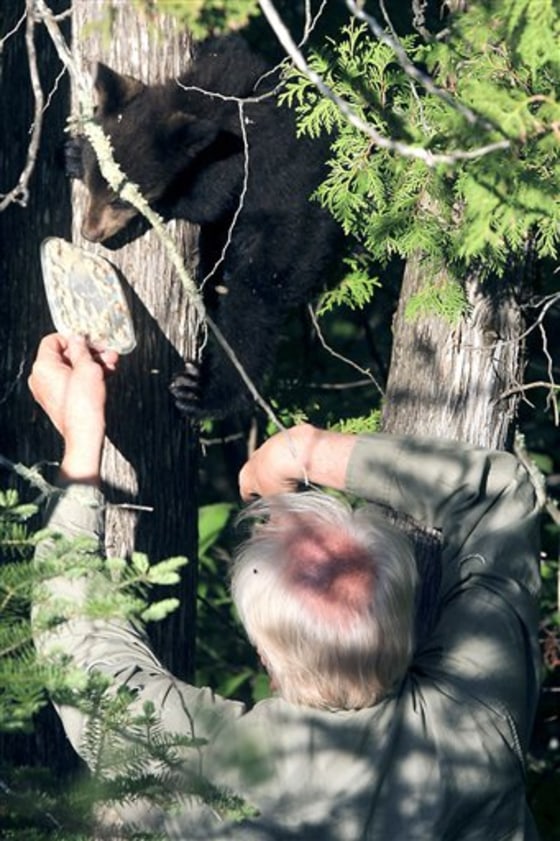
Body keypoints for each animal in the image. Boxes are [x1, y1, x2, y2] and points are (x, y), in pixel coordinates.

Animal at [66, 35, 343, 420]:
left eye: (121, 200)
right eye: (94, 185)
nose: (90, 232)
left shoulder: (239, 161)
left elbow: (205, 200)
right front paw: (74, 151)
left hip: (293, 235)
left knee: (253, 303)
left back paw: (205, 393)